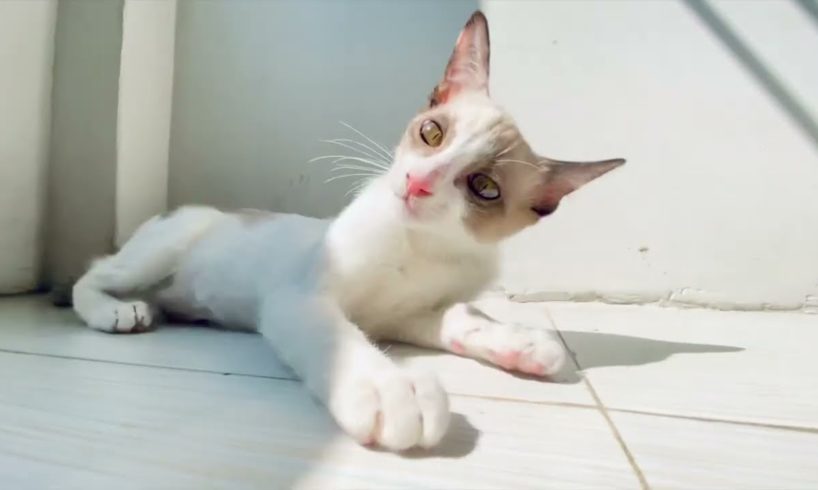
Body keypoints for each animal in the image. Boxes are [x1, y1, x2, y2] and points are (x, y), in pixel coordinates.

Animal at [71, 11, 620, 452]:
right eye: (433, 133)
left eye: (484, 187)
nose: (418, 183)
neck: (421, 245)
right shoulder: (297, 297)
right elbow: (334, 334)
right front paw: (388, 390)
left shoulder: (408, 315)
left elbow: (460, 316)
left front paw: (518, 341)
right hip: (167, 244)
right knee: (93, 273)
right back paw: (115, 311)